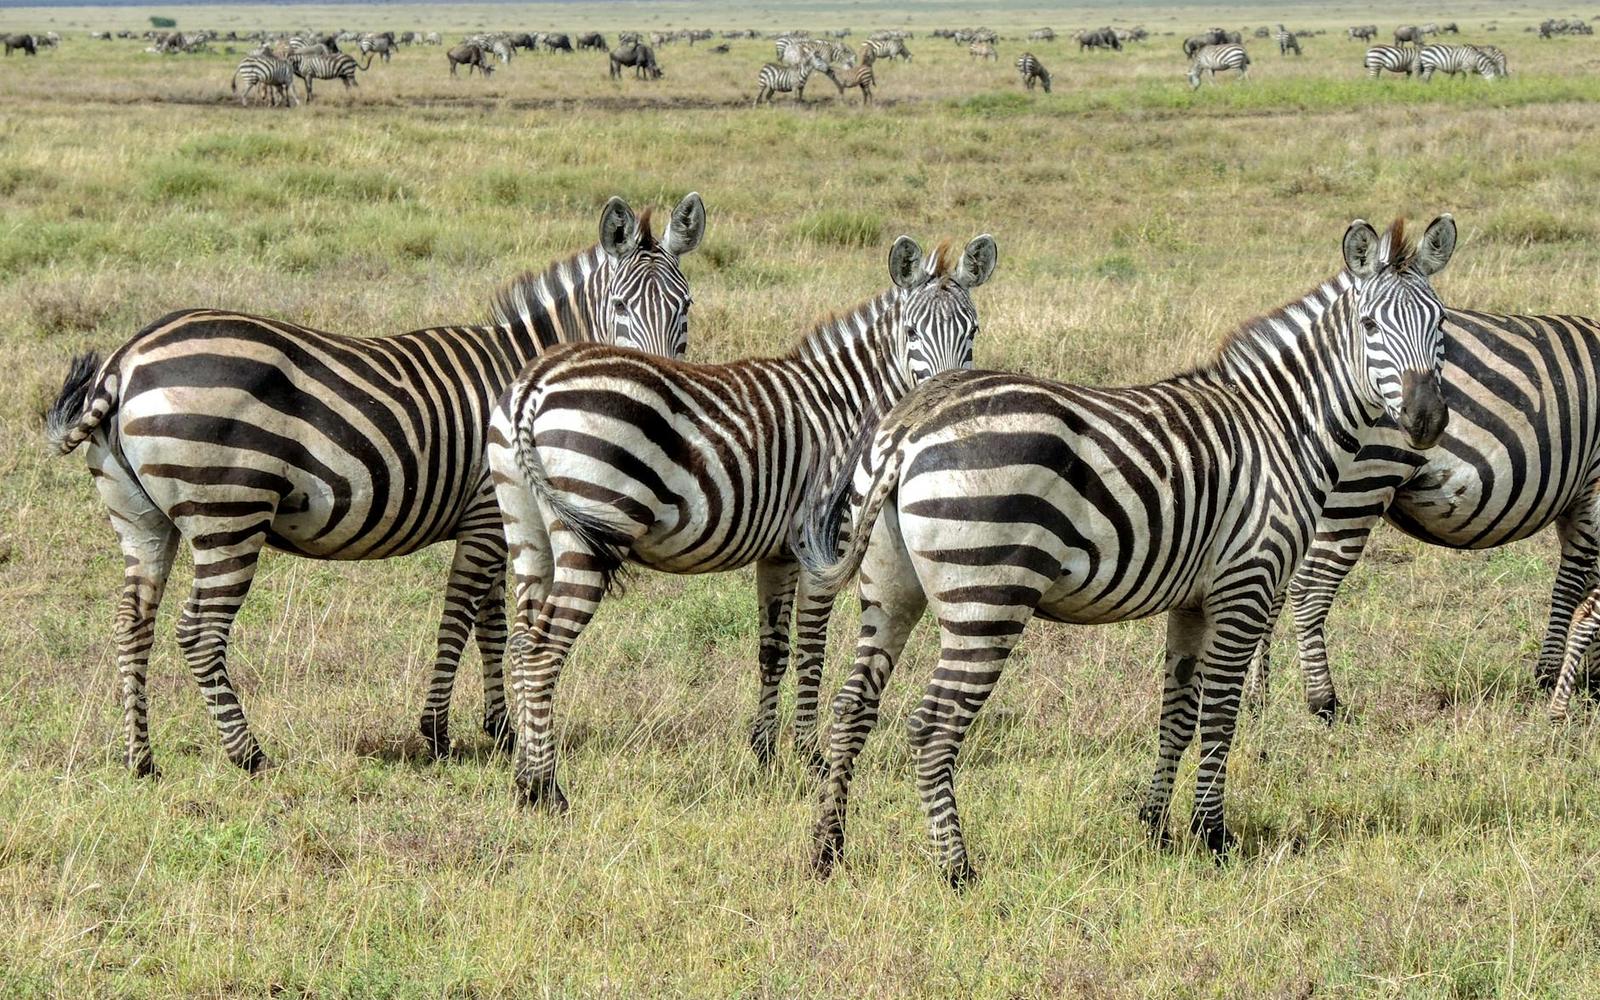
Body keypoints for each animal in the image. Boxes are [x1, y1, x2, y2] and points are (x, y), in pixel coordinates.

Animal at [42, 194, 707, 777]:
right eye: (619, 307)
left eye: (686, 307)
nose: (659, 382)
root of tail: (124, 360)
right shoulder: (487, 516)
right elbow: (461, 617)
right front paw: (437, 733)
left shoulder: (498, 523)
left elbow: (492, 625)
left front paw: (500, 730)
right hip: (228, 512)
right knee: (200, 633)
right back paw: (250, 757)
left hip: (140, 519)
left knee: (133, 626)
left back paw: (142, 760)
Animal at [485, 235, 997, 810]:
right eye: (911, 332)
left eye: (973, 330)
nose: (943, 394)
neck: (847, 408)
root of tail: (534, 384)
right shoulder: (823, 545)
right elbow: (812, 650)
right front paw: (812, 759)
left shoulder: (778, 554)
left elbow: (773, 650)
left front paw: (766, 754)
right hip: (590, 531)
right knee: (542, 651)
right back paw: (547, 790)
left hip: (525, 526)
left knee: (521, 641)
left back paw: (524, 779)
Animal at [799, 216, 1457, 885]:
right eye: (1370, 325)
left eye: (1441, 323)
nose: (1427, 421)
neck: (1282, 425)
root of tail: (909, 424)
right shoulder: (1246, 585)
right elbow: (1220, 716)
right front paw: (1212, 837)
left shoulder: (1193, 599)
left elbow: (1178, 714)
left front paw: (1156, 827)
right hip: (987, 596)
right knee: (932, 725)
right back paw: (957, 870)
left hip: (890, 587)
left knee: (852, 707)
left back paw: (827, 849)